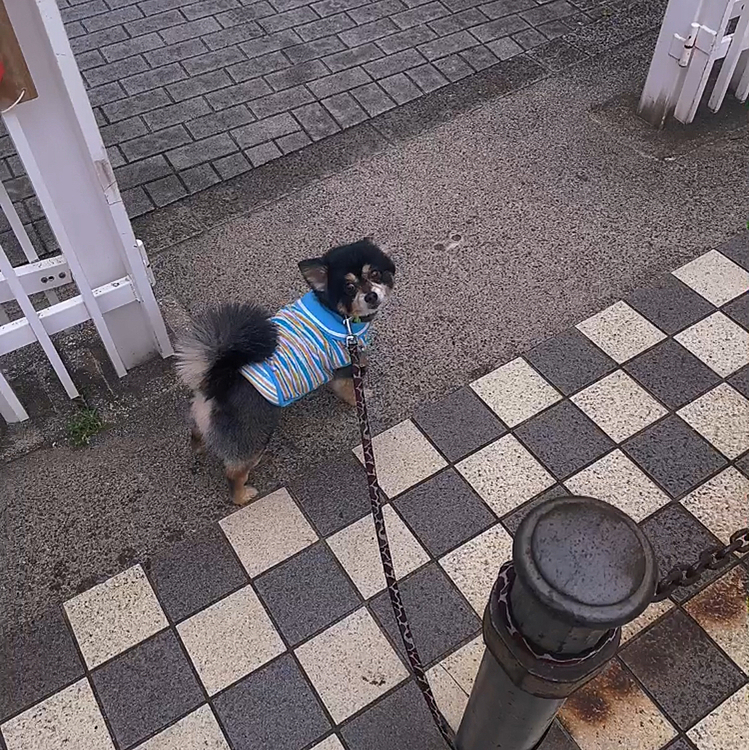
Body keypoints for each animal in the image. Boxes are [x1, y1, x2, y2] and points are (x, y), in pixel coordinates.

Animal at [178, 241, 394, 508]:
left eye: (375, 274)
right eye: (349, 287)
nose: (371, 295)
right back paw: (242, 495)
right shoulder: (342, 369)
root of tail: (217, 381)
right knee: (234, 471)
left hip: (205, 421)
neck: (336, 314)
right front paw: (361, 396)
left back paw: (198, 447)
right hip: (254, 436)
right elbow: (351, 392)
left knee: (197, 432)